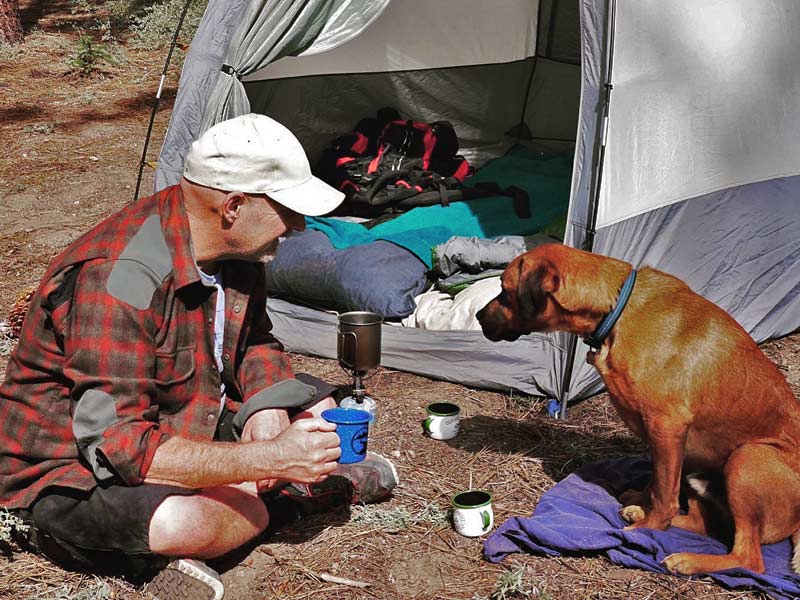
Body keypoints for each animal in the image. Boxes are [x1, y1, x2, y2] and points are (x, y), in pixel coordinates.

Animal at [476, 245, 800, 576]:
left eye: (504, 290)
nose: (477, 316)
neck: (616, 309)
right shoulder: (658, 436)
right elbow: (655, 479)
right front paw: (642, 505)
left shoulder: (667, 426)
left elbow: (664, 495)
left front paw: (648, 527)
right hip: (697, 462)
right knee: (705, 525)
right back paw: (646, 518)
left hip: (749, 457)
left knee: (750, 558)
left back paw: (686, 558)